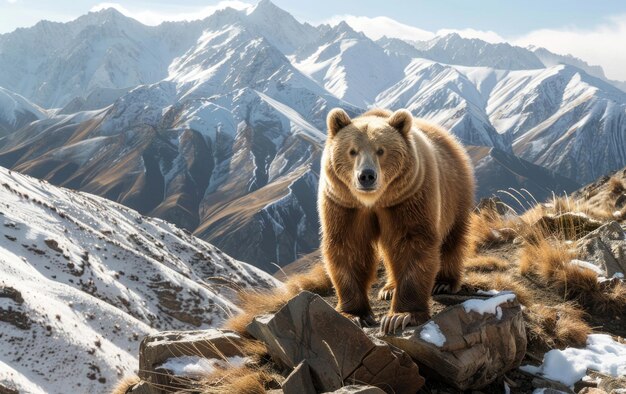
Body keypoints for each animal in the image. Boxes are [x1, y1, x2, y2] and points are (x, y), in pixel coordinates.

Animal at [316, 107, 472, 332]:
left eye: (380, 150)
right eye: (352, 151)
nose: (366, 176)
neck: (375, 201)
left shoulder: (409, 199)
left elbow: (413, 244)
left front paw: (400, 316)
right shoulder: (344, 205)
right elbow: (348, 247)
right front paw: (354, 314)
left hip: (455, 190)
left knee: (452, 237)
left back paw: (444, 282)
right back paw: (388, 288)